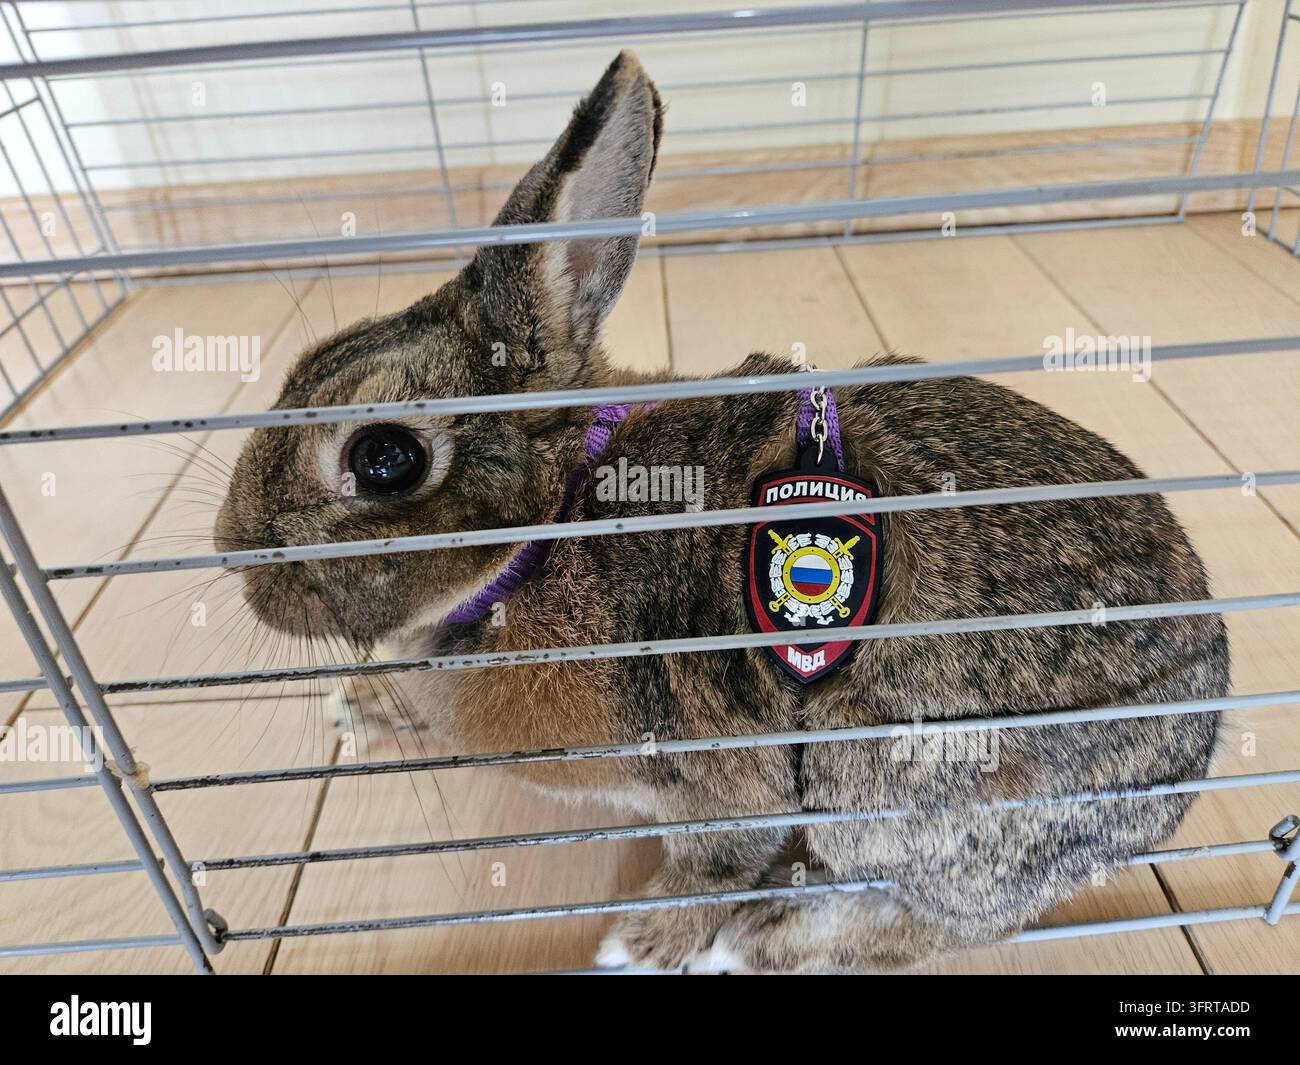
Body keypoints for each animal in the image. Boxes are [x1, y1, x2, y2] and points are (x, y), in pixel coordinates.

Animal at [215, 51, 1228, 973]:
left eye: (384, 459)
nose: (232, 557)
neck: (551, 525)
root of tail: (1195, 750)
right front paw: (357, 707)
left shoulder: (726, 771)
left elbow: (716, 860)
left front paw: (642, 943)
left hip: (887, 786)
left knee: (945, 923)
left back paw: (773, 935)